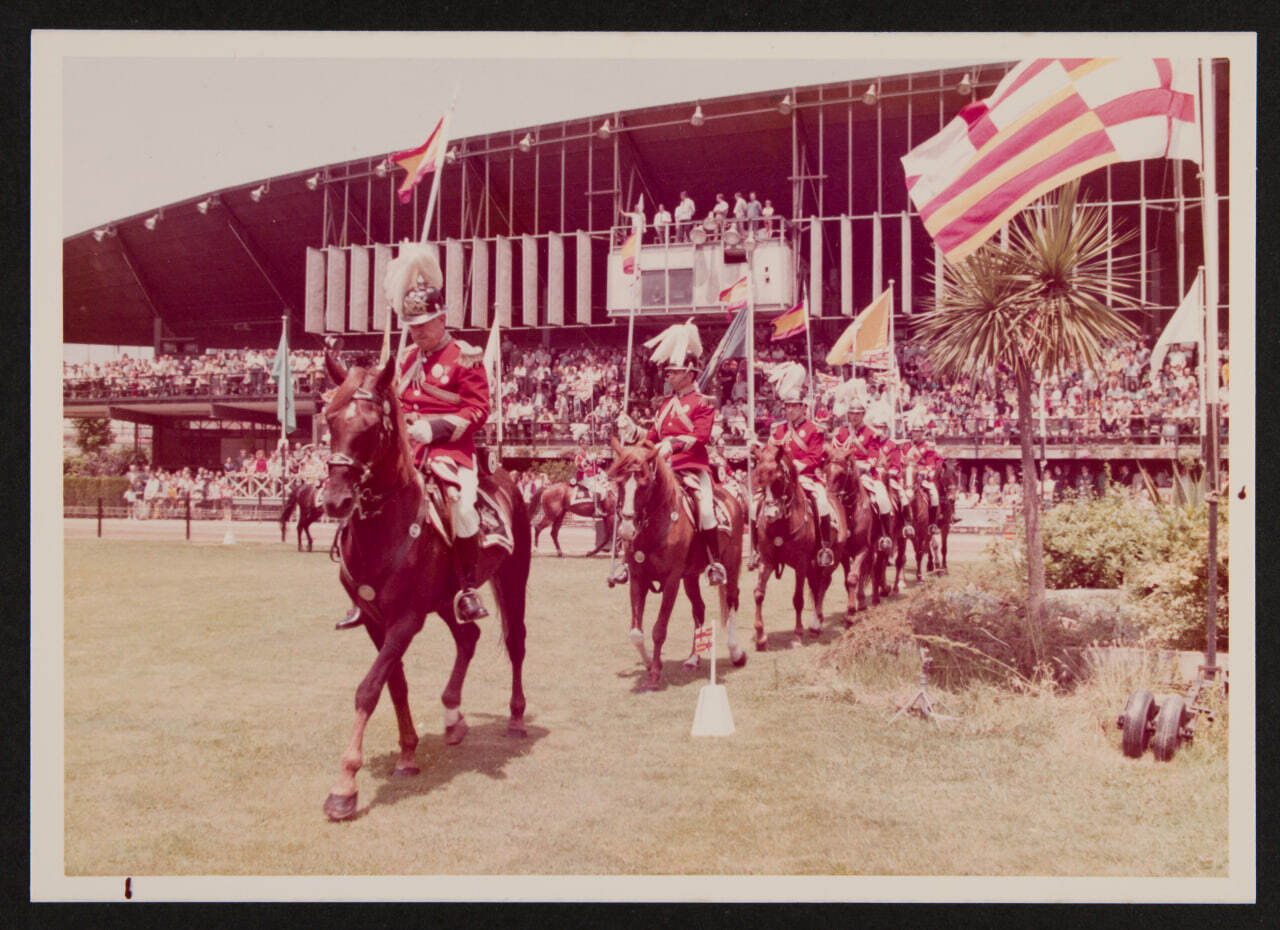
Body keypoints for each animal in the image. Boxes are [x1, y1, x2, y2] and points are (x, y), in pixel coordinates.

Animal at [317, 352, 532, 822]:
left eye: (370, 427)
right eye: (329, 419)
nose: (335, 500)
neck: (384, 527)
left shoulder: (406, 619)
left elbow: (368, 688)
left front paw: (344, 786)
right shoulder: (376, 621)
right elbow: (394, 685)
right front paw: (407, 755)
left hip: (513, 578)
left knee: (516, 643)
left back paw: (516, 718)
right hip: (447, 599)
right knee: (469, 636)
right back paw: (453, 717)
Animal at [606, 437, 747, 691]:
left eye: (644, 485)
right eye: (619, 484)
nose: (626, 530)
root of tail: (731, 497)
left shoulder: (672, 580)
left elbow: (659, 629)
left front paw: (654, 675)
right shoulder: (638, 578)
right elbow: (636, 632)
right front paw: (650, 662)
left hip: (731, 565)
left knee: (732, 601)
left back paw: (736, 652)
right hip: (690, 576)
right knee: (699, 609)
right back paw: (693, 659)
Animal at [749, 442, 845, 650]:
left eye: (778, 479)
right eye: (758, 477)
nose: (770, 514)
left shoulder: (801, 564)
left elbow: (798, 599)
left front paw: (797, 636)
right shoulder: (767, 561)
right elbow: (759, 594)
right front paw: (760, 637)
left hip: (829, 561)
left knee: (822, 587)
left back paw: (816, 625)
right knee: (816, 587)